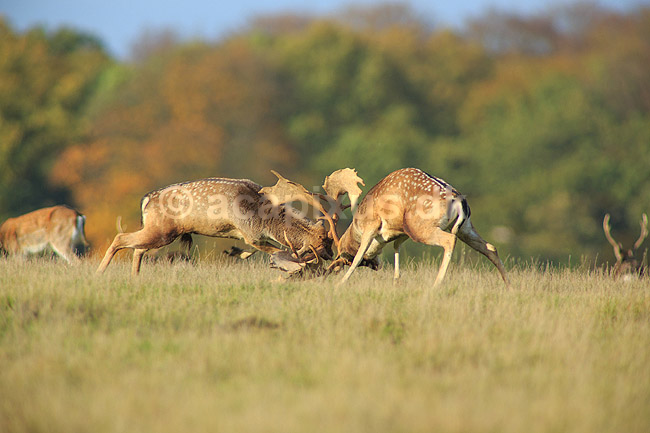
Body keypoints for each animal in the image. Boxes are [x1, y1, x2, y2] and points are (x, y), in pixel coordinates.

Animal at [95, 172, 362, 276]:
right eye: (324, 243)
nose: (331, 256)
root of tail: (145, 200)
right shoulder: (250, 233)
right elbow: (275, 251)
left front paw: (239, 255)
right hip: (161, 230)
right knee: (122, 239)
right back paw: (99, 273)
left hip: (158, 231)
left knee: (137, 249)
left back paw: (134, 277)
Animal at [329, 168, 509, 286]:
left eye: (345, 259)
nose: (377, 266)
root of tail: (459, 201)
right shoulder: (401, 232)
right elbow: (396, 248)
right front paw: (396, 280)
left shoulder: (372, 225)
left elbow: (359, 255)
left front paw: (340, 284)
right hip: (465, 227)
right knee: (490, 248)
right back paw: (508, 286)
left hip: (421, 227)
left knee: (450, 240)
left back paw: (436, 285)